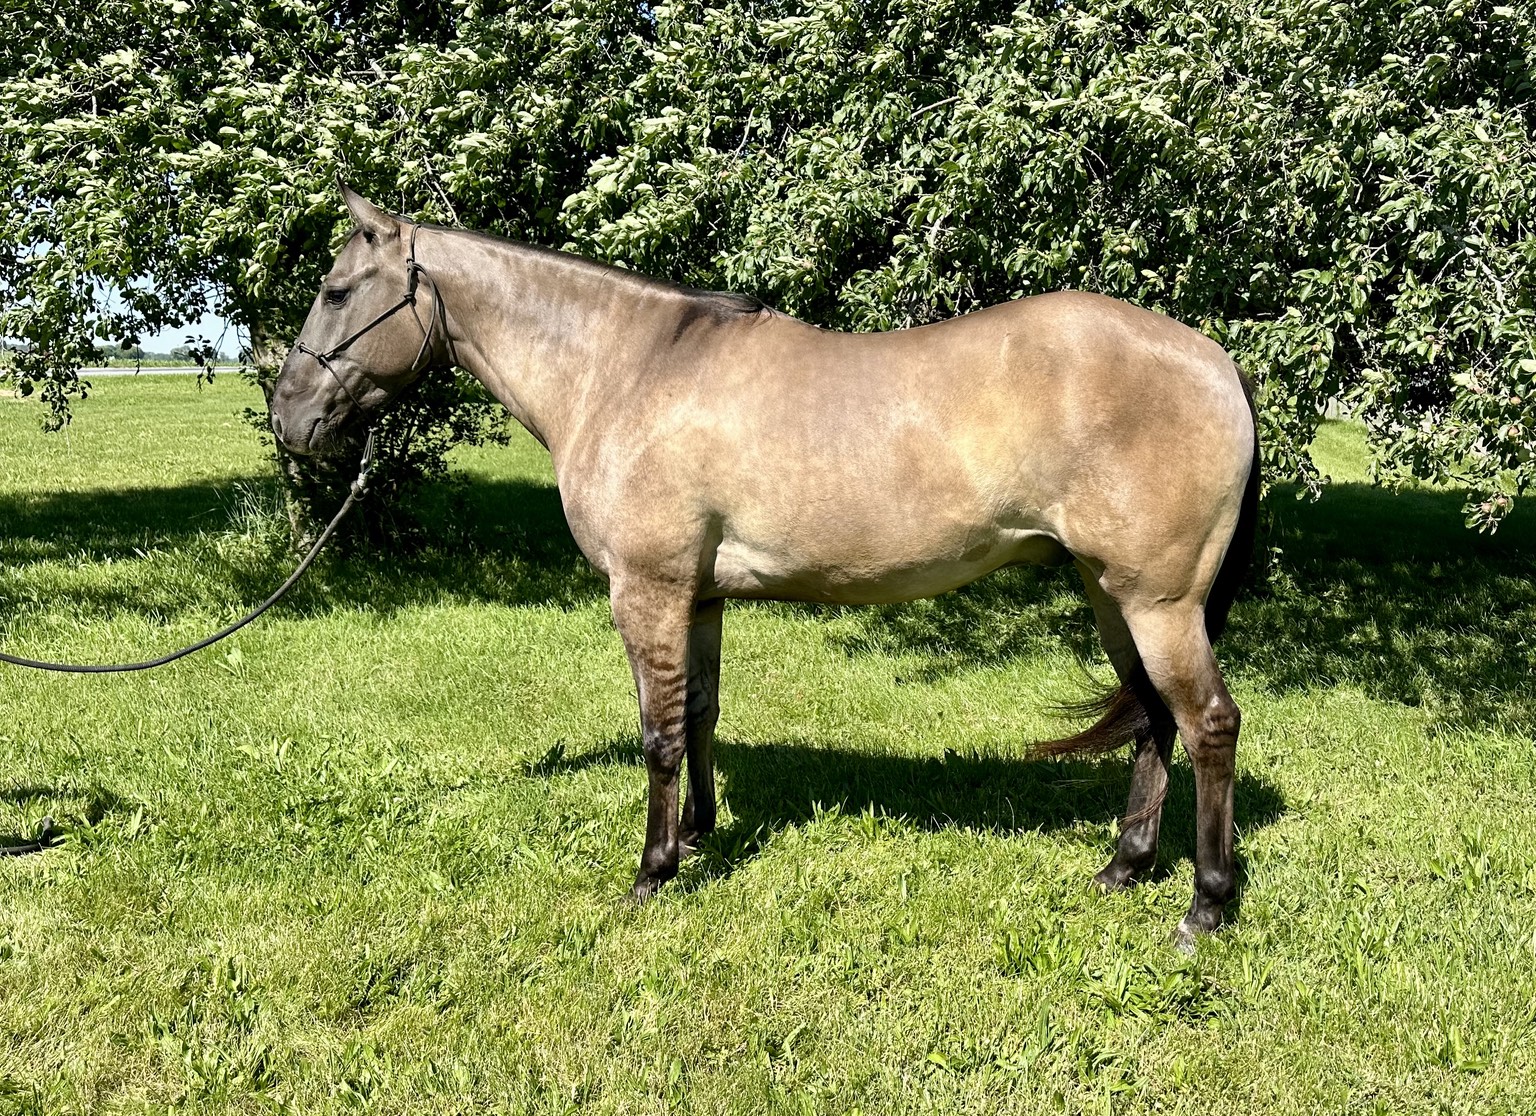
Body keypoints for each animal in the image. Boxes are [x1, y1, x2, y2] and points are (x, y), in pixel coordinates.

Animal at [269, 186, 1259, 946]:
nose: (288, 418)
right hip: (1110, 591)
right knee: (1153, 720)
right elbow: (699, 715)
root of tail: (1214, 360)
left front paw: (653, 871)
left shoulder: (647, 592)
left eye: (337, 290)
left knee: (1208, 723)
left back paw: (1205, 907)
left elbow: (659, 732)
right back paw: (1124, 866)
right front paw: (699, 837)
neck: (626, 370)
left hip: (1159, 600)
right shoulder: (699, 598)